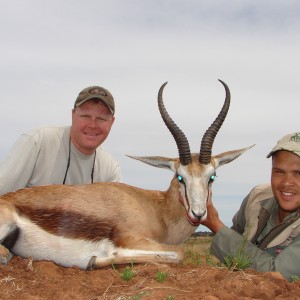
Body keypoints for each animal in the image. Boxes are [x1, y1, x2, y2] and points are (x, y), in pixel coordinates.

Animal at [0, 79, 253, 270]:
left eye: (212, 176)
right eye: (180, 177)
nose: (199, 214)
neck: (158, 211)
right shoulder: (131, 238)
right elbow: (179, 253)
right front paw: (95, 259)